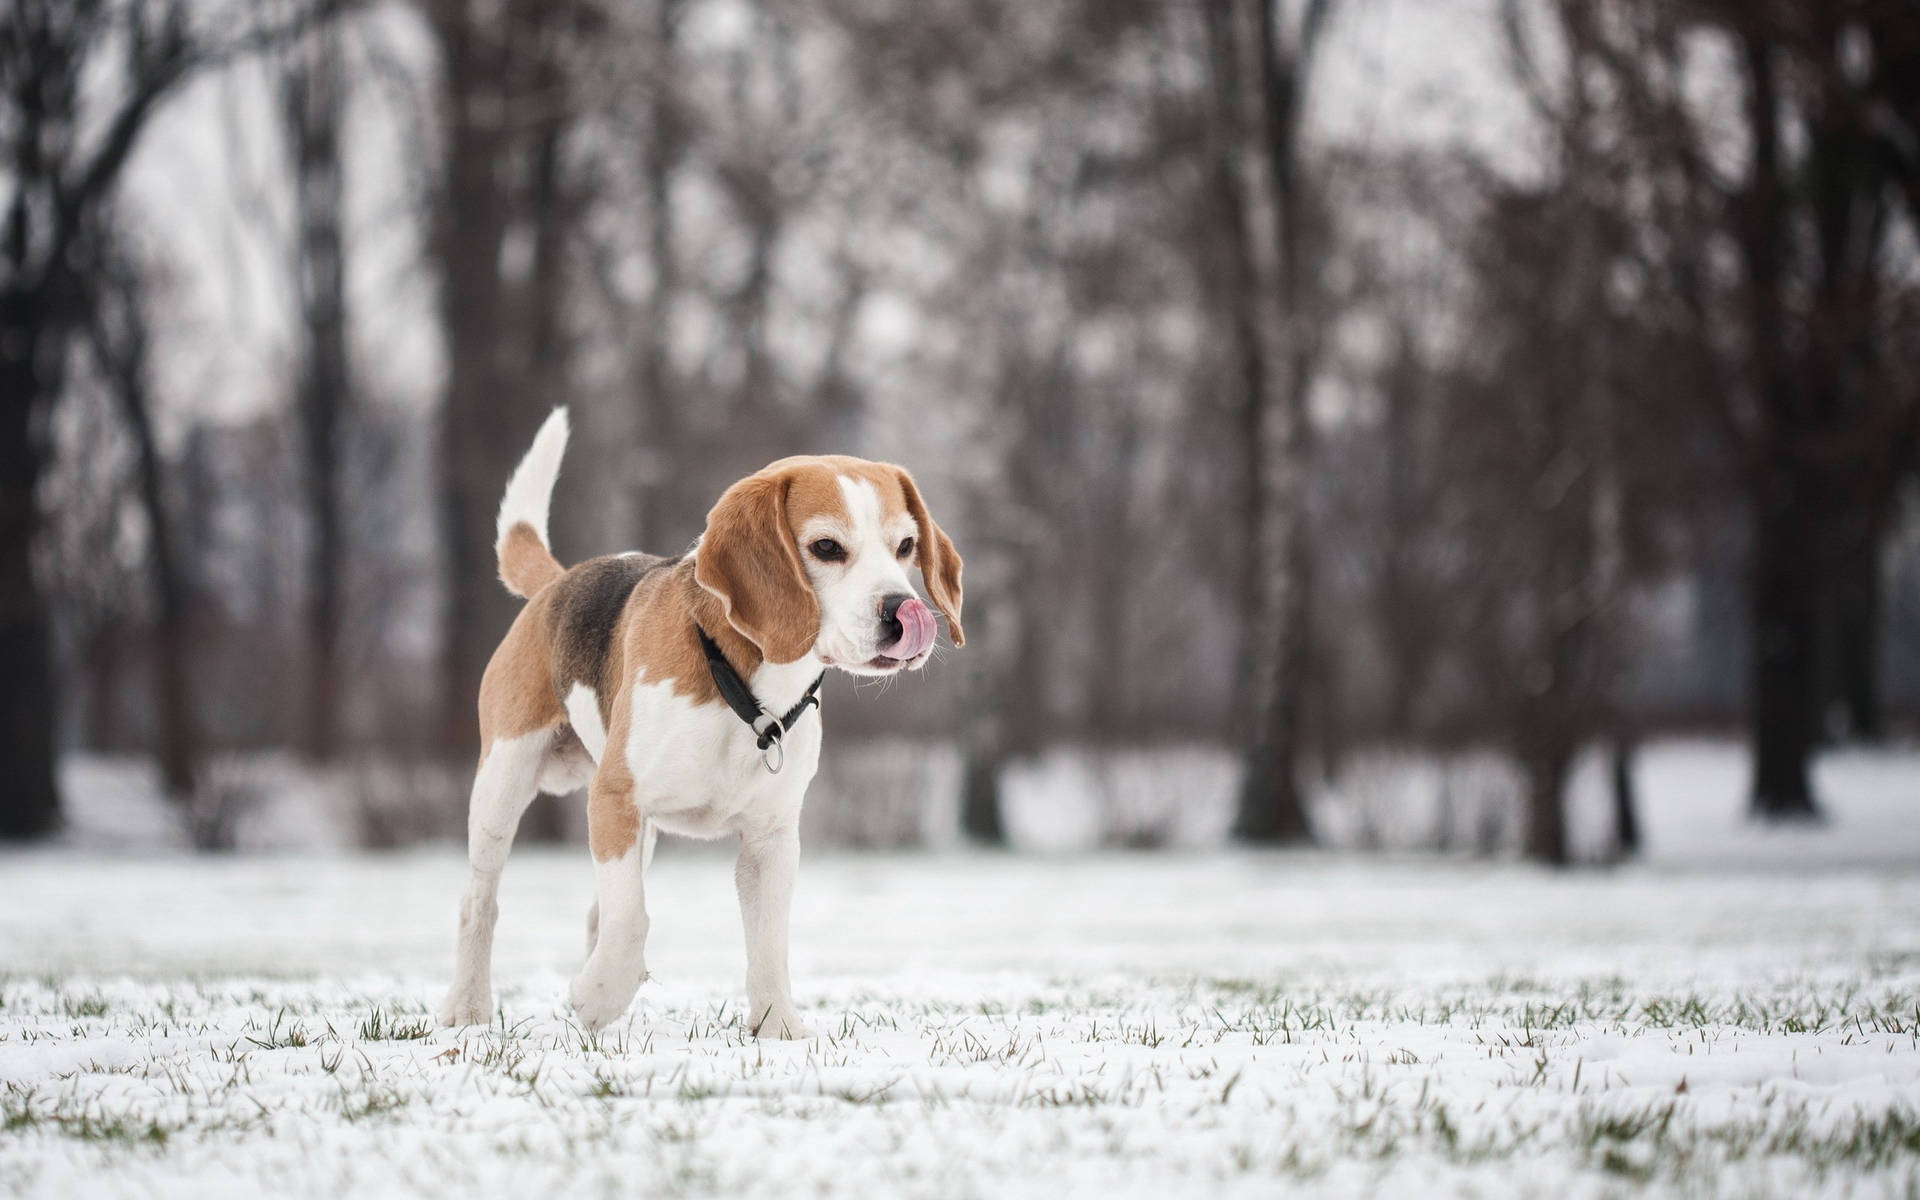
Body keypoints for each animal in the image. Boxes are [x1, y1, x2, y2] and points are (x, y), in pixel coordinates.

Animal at [441, 407, 967, 1036]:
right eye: (826, 547)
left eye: (906, 545)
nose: (901, 612)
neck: (746, 688)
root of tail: (556, 583)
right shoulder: (614, 798)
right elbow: (631, 922)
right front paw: (596, 995)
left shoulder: (771, 838)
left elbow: (768, 944)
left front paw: (778, 1029)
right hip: (504, 780)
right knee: (481, 900)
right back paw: (469, 1007)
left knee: (598, 909)